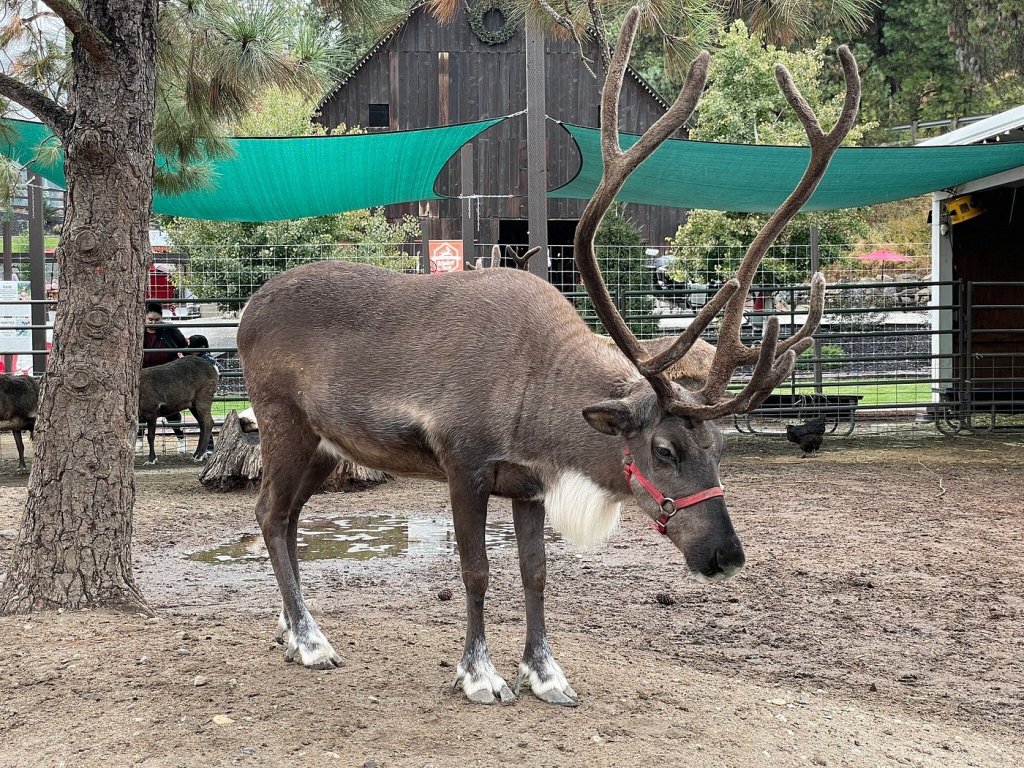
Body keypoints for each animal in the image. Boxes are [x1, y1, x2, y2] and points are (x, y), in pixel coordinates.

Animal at [236, 8, 859, 706]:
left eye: (720, 447)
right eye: (664, 451)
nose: (725, 556)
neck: (542, 405)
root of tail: (248, 308)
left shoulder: (529, 484)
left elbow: (535, 573)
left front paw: (545, 671)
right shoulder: (465, 464)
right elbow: (477, 570)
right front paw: (480, 674)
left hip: (326, 444)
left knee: (287, 519)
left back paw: (291, 630)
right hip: (283, 422)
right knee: (268, 514)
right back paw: (310, 640)